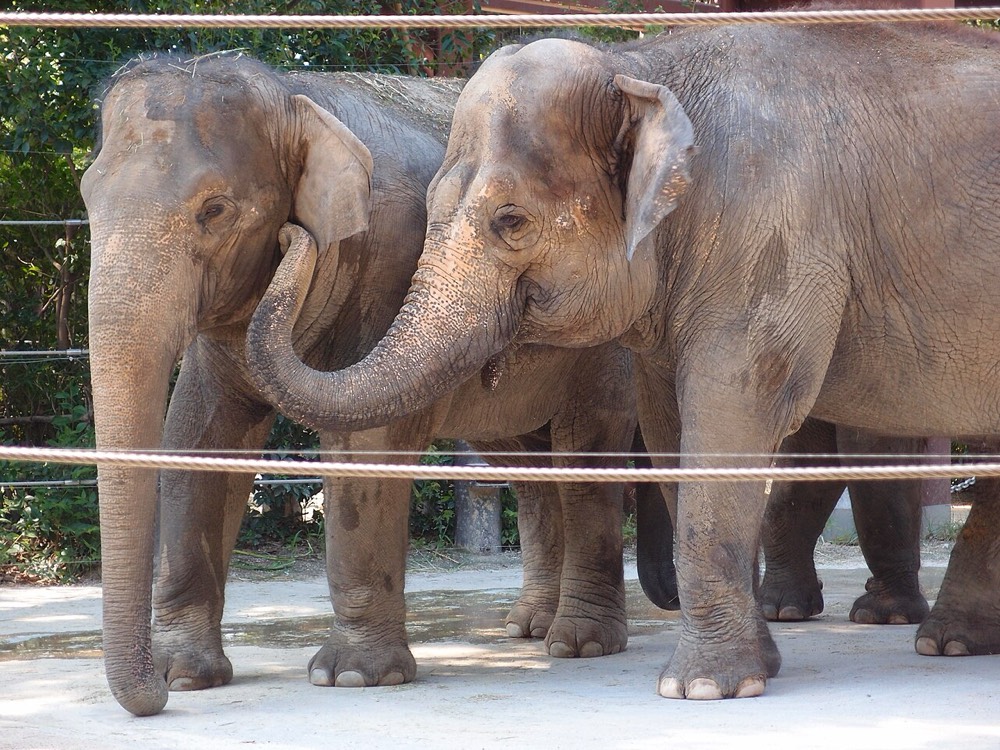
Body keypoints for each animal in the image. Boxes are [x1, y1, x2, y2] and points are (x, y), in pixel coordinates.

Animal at [81, 54, 640, 717]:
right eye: (86, 196)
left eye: (214, 210)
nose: (154, 700)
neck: (298, 100)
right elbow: (196, 437)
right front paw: (185, 676)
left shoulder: (392, 263)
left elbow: (367, 445)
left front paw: (351, 676)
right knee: (525, 461)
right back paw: (528, 628)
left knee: (586, 450)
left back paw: (578, 643)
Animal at [244, 21, 1000, 701]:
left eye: (510, 222)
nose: (293, 233)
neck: (642, 65)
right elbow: (670, 432)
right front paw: (754, 667)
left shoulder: (775, 238)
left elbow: (729, 415)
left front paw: (701, 688)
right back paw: (952, 641)